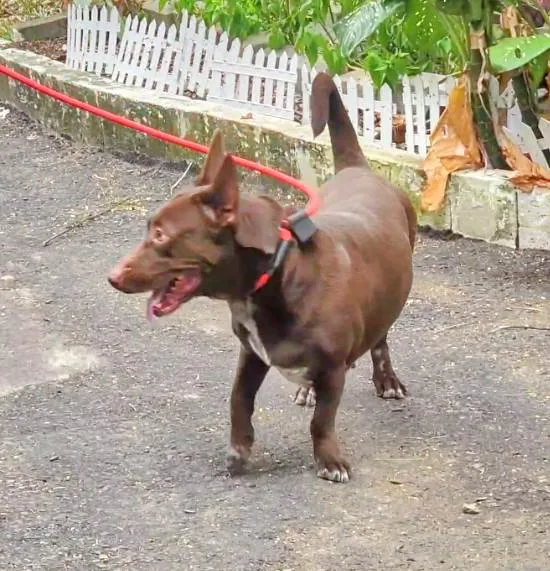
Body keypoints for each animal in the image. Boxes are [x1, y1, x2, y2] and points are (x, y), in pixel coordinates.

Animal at [109, 71, 418, 482]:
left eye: (160, 235)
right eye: (149, 228)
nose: (112, 276)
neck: (272, 280)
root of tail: (359, 169)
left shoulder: (333, 369)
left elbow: (323, 421)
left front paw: (329, 459)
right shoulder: (251, 354)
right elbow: (238, 399)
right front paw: (239, 450)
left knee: (380, 339)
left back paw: (386, 379)